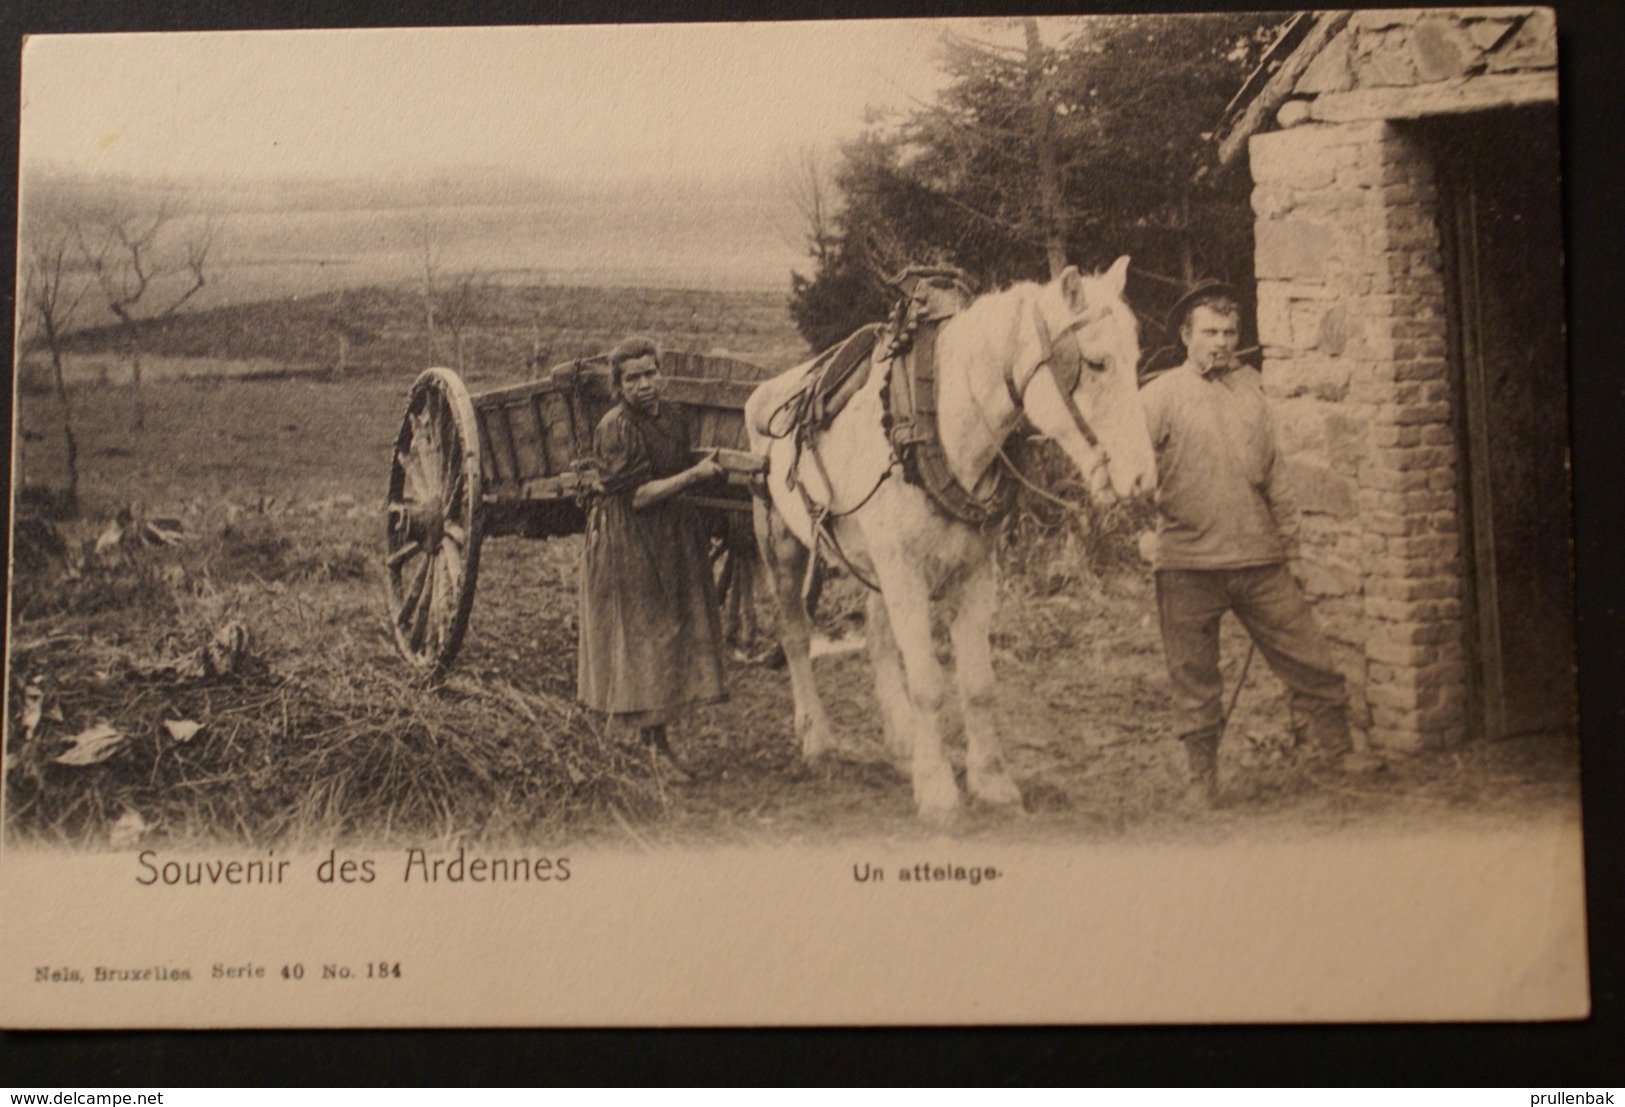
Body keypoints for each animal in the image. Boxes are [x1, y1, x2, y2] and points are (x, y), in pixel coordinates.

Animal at [747, 255, 1157, 816]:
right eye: (1095, 363)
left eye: (1134, 357)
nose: (1142, 478)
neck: (937, 423)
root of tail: (764, 393)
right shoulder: (904, 571)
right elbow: (927, 683)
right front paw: (938, 787)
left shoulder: (974, 572)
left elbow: (977, 683)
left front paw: (990, 779)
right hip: (782, 545)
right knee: (795, 636)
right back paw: (817, 737)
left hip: (873, 563)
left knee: (878, 639)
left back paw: (901, 740)